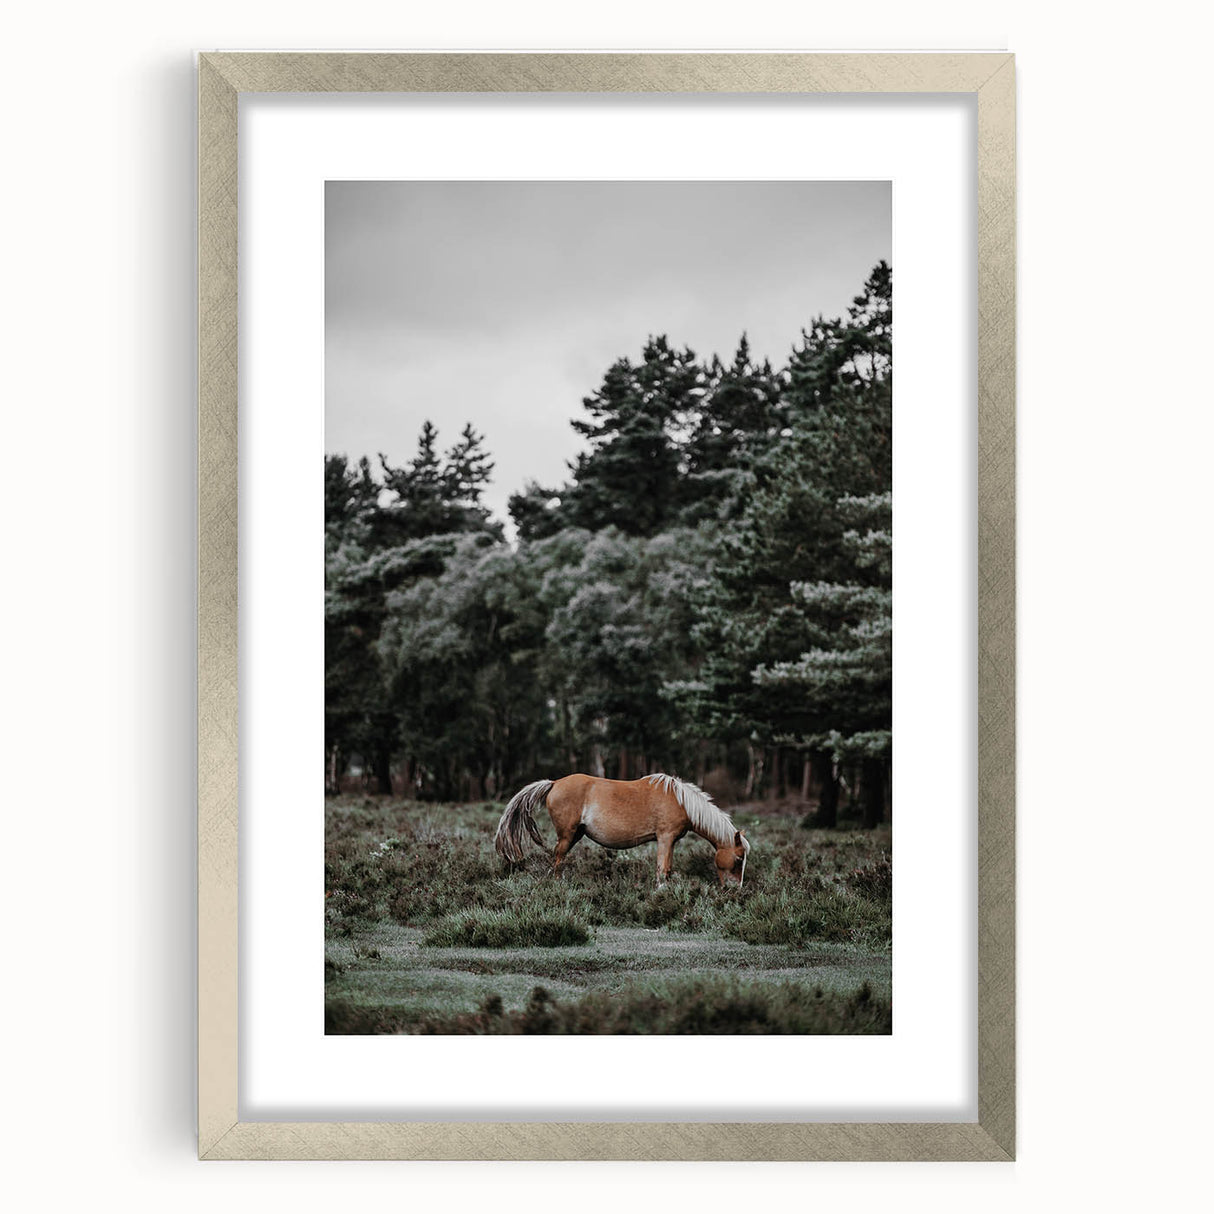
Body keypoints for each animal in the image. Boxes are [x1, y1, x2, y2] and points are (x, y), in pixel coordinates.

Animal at [494, 772, 750, 887]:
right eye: (738, 859)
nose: (735, 889)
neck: (680, 801)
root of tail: (554, 783)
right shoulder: (665, 838)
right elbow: (661, 869)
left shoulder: (671, 842)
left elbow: (667, 868)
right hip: (567, 836)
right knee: (558, 860)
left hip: (576, 835)